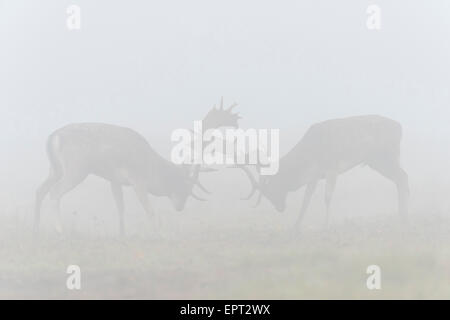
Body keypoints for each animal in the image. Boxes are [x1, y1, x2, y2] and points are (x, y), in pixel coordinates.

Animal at [34, 99, 239, 236]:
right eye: (182, 185)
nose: (180, 207)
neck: (151, 166)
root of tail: (53, 137)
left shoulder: (114, 179)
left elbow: (120, 207)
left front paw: (122, 233)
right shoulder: (137, 180)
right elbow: (149, 209)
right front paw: (157, 232)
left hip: (55, 168)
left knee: (40, 189)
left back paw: (37, 225)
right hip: (77, 168)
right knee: (55, 191)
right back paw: (59, 229)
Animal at [234, 114, 410, 228]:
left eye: (271, 188)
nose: (280, 208)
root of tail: (400, 127)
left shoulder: (332, 168)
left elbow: (327, 197)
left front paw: (326, 224)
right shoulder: (315, 176)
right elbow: (306, 199)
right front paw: (296, 226)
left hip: (384, 156)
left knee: (402, 176)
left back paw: (402, 217)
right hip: (378, 161)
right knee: (402, 177)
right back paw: (402, 216)